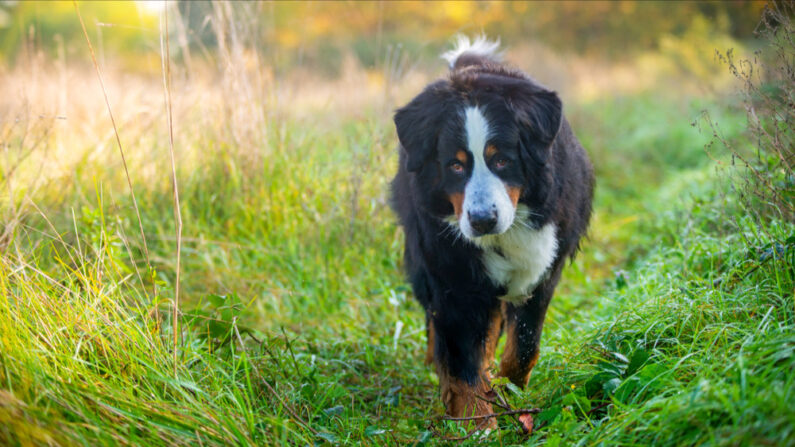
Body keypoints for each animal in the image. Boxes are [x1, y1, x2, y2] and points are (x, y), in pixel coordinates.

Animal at [388, 35, 592, 428]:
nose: (482, 219)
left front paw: (508, 392)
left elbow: (524, 345)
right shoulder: (451, 276)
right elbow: (460, 358)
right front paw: (476, 422)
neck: (503, 235)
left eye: (502, 160)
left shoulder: (544, 268)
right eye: (455, 165)